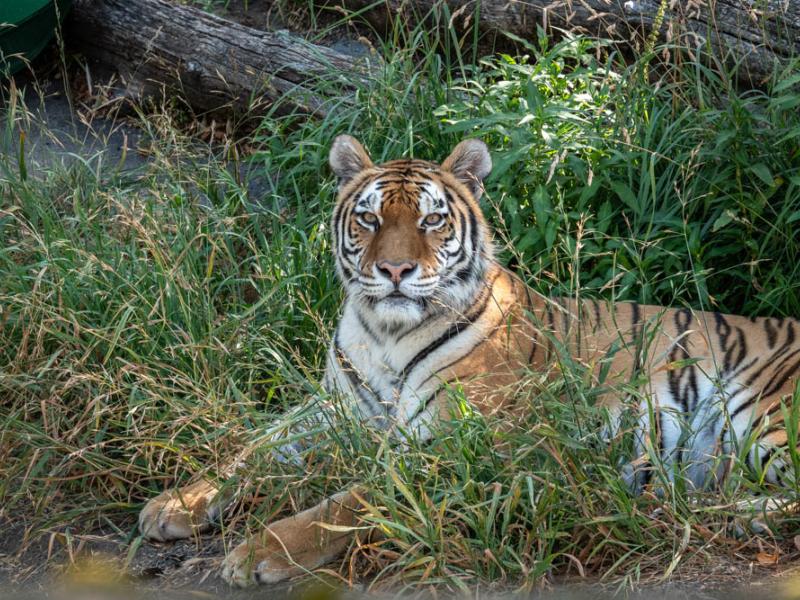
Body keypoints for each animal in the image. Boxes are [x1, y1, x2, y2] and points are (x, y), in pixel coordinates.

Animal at [139, 136, 800, 584]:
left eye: (431, 219)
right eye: (369, 218)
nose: (396, 270)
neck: (385, 333)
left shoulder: (455, 446)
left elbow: (345, 502)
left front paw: (258, 552)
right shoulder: (329, 410)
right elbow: (254, 449)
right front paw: (174, 505)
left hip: (763, 411)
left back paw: (733, 514)